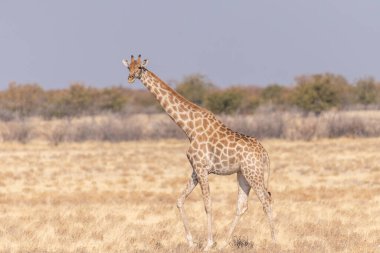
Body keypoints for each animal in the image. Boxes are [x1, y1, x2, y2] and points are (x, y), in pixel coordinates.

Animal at [121, 54, 276, 250]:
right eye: (129, 67)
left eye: (140, 67)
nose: (130, 78)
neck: (189, 129)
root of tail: (265, 154)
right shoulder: (196, 169)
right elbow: (180, 200)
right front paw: (191, 241)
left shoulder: (202, 168)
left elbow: (207, 203)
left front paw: (208, 243)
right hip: (243, 174)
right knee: (242, 205)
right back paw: (224, 243)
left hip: (253, 173)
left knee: (266, 199)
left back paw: (273, 241)